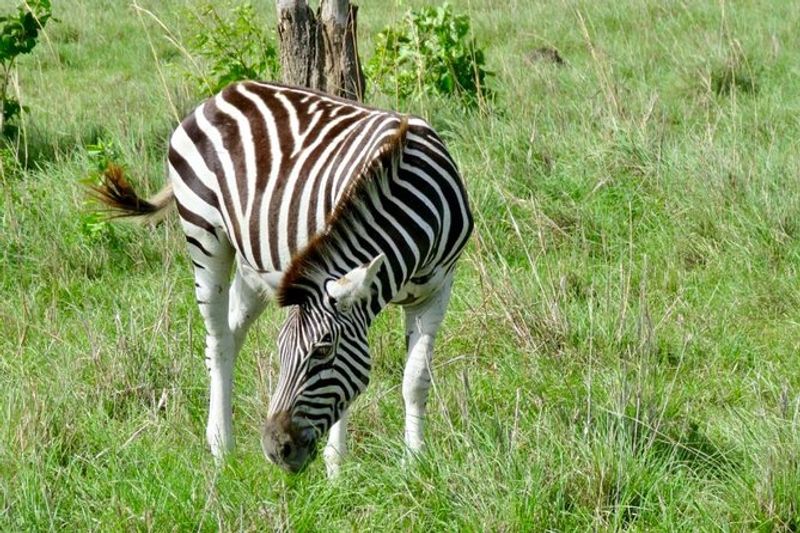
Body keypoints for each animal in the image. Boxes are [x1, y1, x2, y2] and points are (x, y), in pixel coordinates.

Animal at [91, 80, 472, 474]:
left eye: (323, 351)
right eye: (281, 351)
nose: (276, 449)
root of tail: (223, 94)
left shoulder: (437, 291)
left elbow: (415, 380)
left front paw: (414, 463)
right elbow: (347, 397)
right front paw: (337, 468)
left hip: (254, 270)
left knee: (232, 333)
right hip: (204, 237)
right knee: (218, 340)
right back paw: (221, 447)